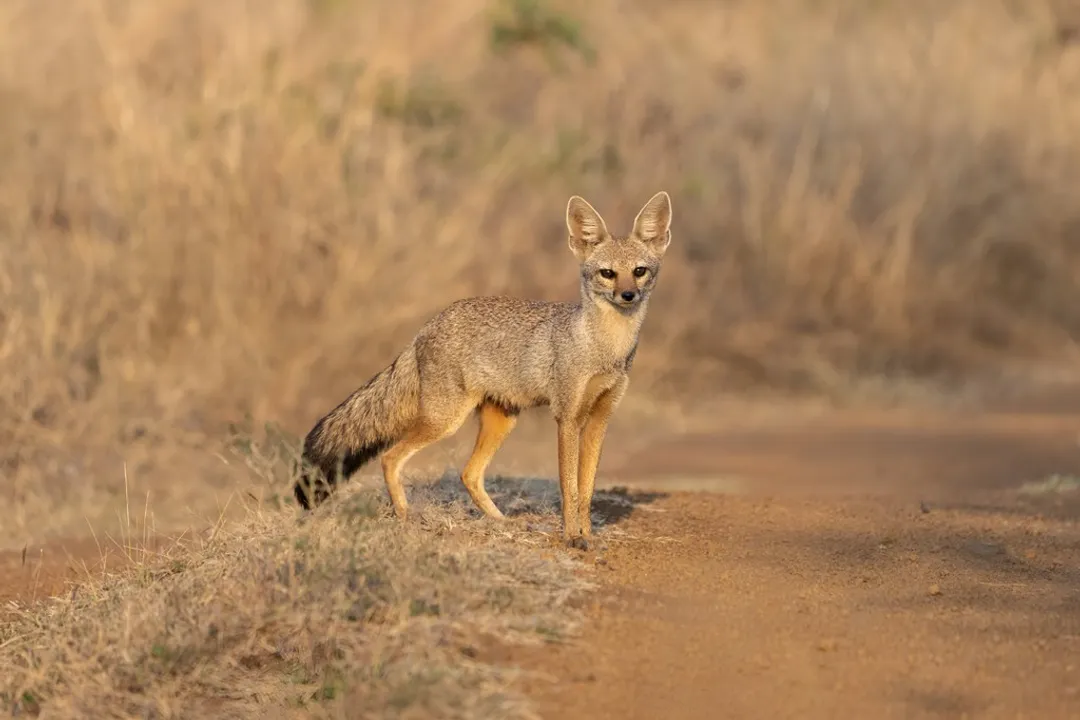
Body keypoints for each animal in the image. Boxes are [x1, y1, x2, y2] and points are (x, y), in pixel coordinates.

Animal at [293, 190, 673, 549]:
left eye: (639, 271)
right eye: (607, 273)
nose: (628, 295)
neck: (604, 349)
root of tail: (426, 326)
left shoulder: (599, 419)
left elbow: (587, 489)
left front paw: (588, 536)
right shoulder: (567, 418)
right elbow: (569, 488)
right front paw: (571, 537)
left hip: (501, 421)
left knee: (469, 474)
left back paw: (503, 523)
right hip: (445, 421)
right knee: (390, 458)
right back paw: (405, 517)